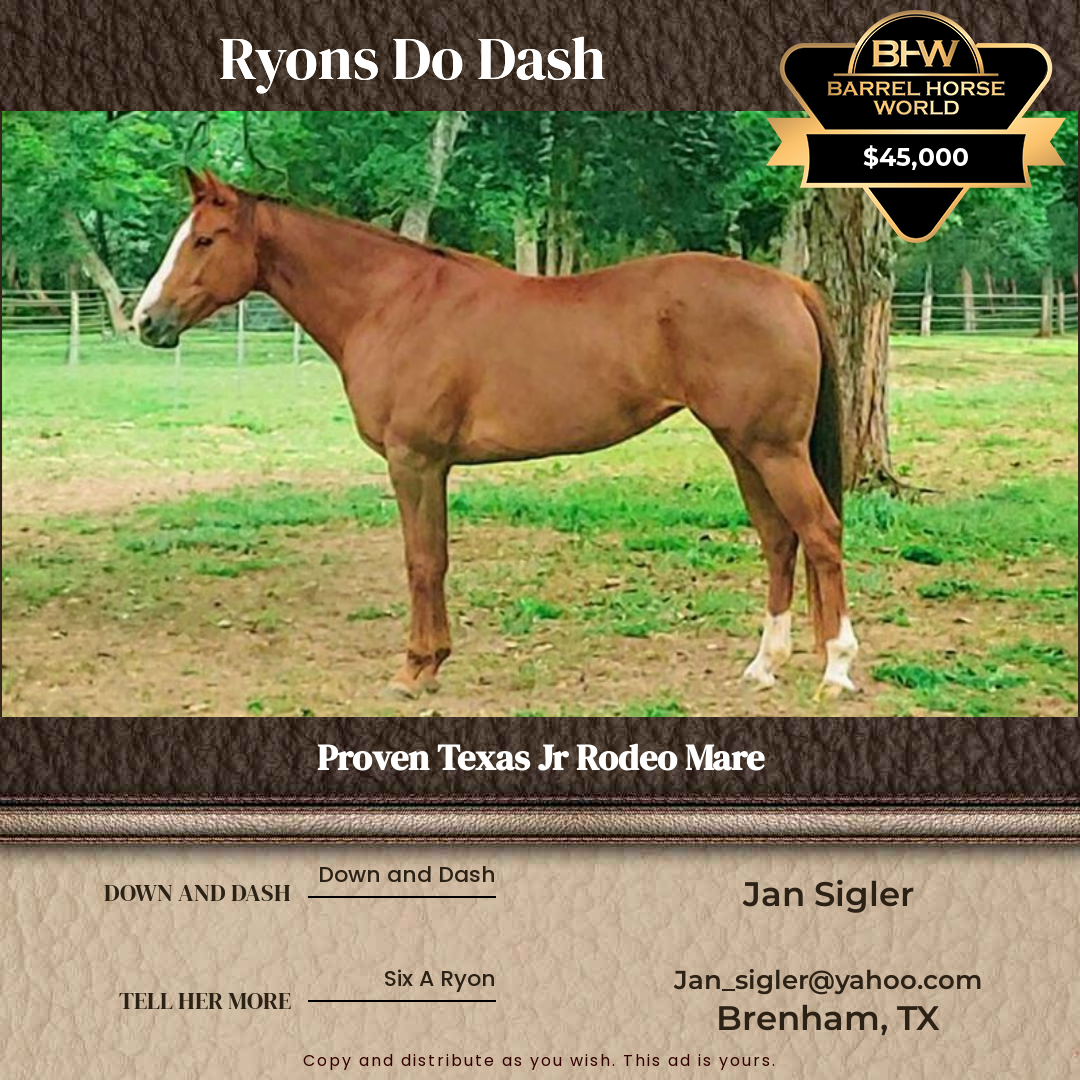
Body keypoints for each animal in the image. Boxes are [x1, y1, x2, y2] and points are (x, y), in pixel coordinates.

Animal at [134, 169, 859, 702]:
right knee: (778, 539)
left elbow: (421, 561)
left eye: (205, 239)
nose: (145, 321)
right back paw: (764, 665)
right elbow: (437, 559)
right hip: (742, 447)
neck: (391, 304)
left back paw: (835, 669)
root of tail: (788, 285)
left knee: (820, 534)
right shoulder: (436, 466)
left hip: (772, 449)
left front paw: (413, 669)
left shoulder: (414, 461)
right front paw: (433, 662)